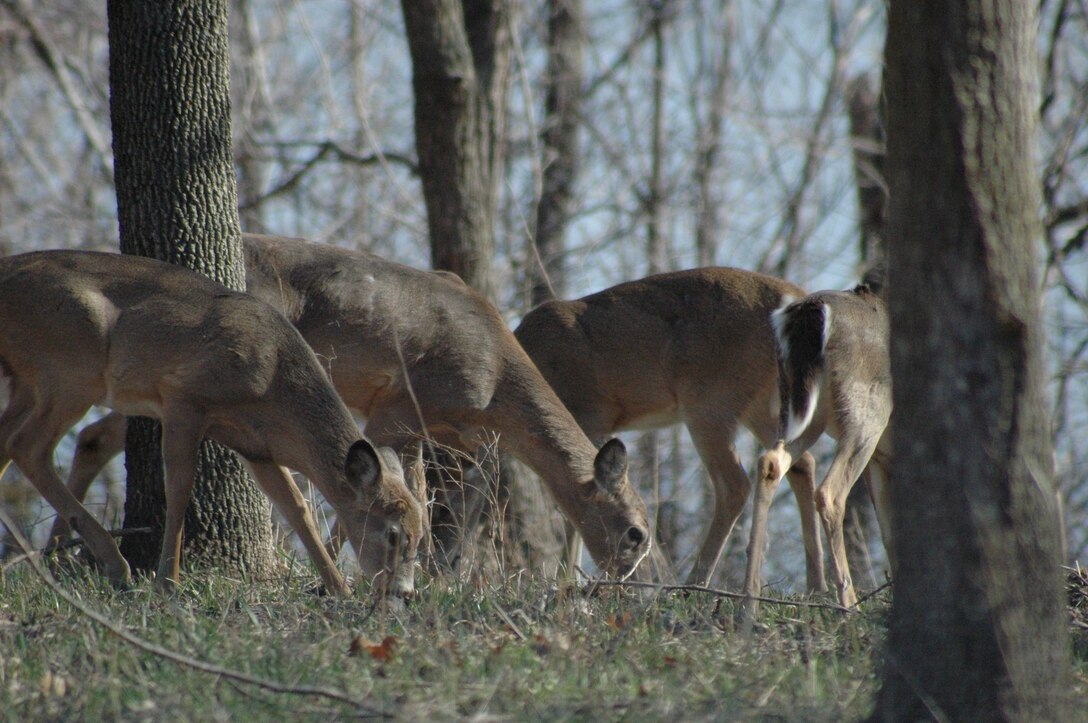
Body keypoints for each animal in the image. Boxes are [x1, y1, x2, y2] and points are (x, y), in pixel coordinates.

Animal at [0, 251, 424, 595]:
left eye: (420, 537)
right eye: (393, 534)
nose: (403, 593)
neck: (272, 379)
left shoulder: (257, 447)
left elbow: (297, 507)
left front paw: (340, 591)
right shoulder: (182, 397)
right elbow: (179, 489)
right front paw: (167, 583)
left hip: (31, 381)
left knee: (7, 441)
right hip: (69, 367)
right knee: (28, 447)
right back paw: (116, 564)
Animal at [46, 237, 648, 582]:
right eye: (637, 534)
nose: (621, 585)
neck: (497, 382)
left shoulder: (437, 434)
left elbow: (426, 497)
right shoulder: (400, 405)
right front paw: (343, 578)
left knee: (94, 434)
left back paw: (60, 555)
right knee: (95, 432)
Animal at [515, 267, 822, 591]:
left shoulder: (590, 414)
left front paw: (566, 579)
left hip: (710, 400)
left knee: (735, 484)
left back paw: (694, 583)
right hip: (758, 405)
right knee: (800, 463)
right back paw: (818, 586)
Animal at [752, 278, 887, 604]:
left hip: (801, 407)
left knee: (771, 462)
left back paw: (750, 599)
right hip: (866, 415)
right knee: (830, 493)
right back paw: (849, 603)